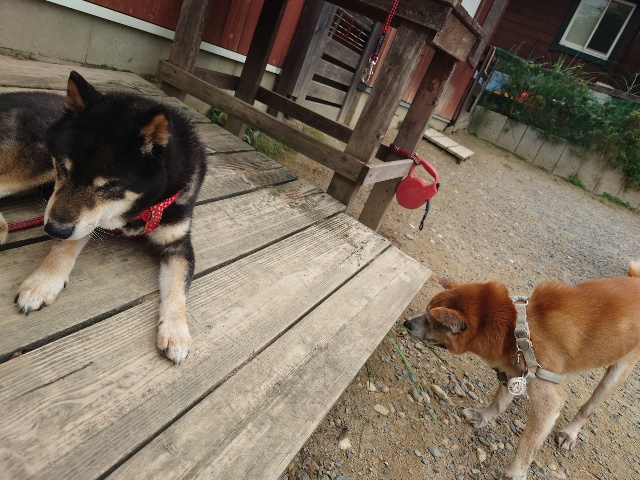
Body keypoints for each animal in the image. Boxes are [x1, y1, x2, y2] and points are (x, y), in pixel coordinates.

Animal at [3, 71, 206, 365]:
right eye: (62, 167)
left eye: (108, 186)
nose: (53, 229)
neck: (142, 208)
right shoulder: (80, 219)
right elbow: (64, 247)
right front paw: (43, 283)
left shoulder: (177, 242)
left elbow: (178, 290)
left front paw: (176, 332)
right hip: (34, 164)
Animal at [404, 262, 640, 480]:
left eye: (429, 320)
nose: (406, 323)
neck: (514, 330)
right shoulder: (514, 373)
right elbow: (498, 403)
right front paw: (482, 417)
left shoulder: (548, 399)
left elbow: (527, 443)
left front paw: (515, 473)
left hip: (617, 372)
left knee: (588, 408)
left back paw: (570, 434)